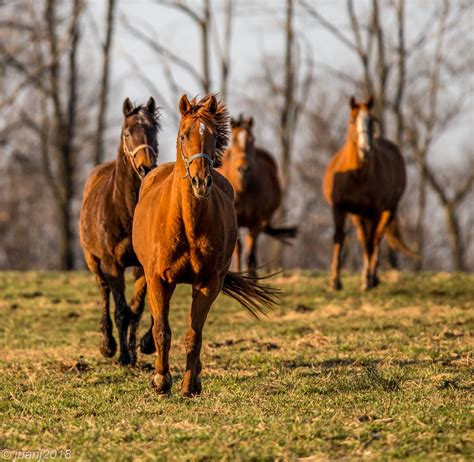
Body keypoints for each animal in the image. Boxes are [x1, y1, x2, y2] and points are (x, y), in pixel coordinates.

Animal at [78, 96, 159, 364]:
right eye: (127, 132)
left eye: (154, 130)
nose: (146, 168)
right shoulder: (112, 264)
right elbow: (122, 310)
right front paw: (122, 355)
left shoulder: (143, 264)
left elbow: (138, 307)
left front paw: (143, 345)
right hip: (93, 260)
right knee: (103, 292)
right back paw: (108, 344)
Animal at [131, 94, 280, 398]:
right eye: (183, 135)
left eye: (212, 136)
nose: (201, 181)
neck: (187, 224)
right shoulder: (158, 280)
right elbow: (162, 330)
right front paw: (161, 380)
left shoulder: (208, 283)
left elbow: (194, 335)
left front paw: (189, 385)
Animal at [218, 115, 296, 274]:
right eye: (234, 140)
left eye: (252, 140)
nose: (243, 168)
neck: (243, 189)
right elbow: (238, 248)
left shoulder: (257, 220)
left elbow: (251, 253)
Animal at [322, 96, 414, 292]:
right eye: (352, 120)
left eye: (372, 120)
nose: (365, 149)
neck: (357, 175)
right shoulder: (339, 208)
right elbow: (339, 238)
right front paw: (335, 281)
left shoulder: (375, 210)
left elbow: (371, 242)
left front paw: (366, 279)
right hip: (358, 215)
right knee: (364, 239)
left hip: (388, 210)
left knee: (377, 238)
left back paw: (373, 277)